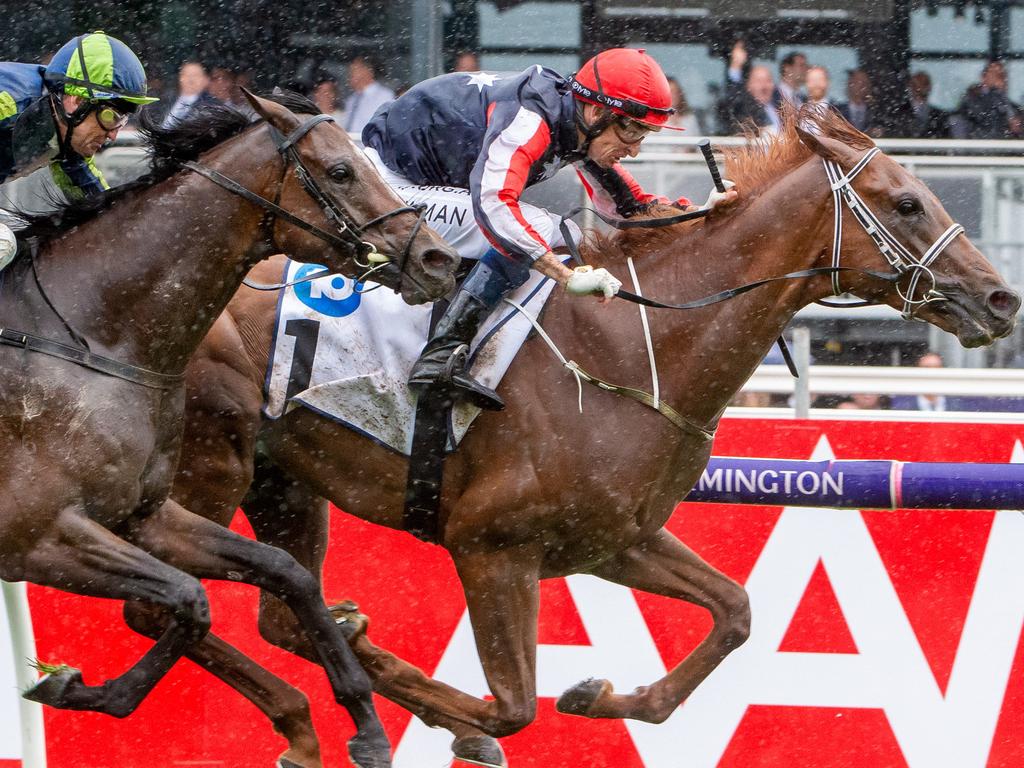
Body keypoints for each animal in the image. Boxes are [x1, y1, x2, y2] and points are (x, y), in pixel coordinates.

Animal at [0, 91, 456, 768]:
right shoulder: (37, 535)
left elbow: (283, 572)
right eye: (340, 170)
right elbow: (189, 600)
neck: (91, 336)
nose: (438, 258)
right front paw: (79, 688)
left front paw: (366, 726)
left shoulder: (142, 515)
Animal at [155, 111, 1019, 765]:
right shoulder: (492, 546)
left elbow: (734, 611)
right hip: (206, 472)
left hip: (283, 480)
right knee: (179, 603)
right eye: (906, 203)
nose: (1000, 298)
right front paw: (466, 727)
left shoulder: (611, 538)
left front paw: (602, 694)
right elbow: (510, 708)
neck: (631, 348)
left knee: (278, 611)